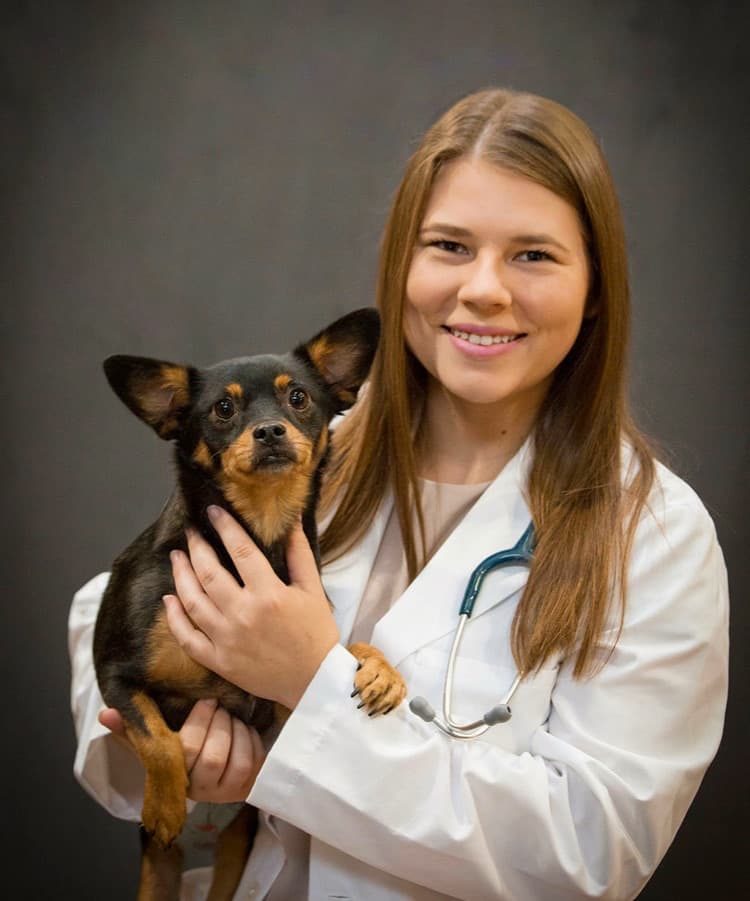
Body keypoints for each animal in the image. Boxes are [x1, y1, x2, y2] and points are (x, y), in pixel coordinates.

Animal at [93, 308, 406, 900]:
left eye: (298, 398)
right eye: (223, 408)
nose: (269, 430)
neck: (259, 535)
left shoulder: (278, 711)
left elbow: (345, 644)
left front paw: (382, 671)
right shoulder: (115, 674)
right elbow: (158, 739)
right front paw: (164, 805)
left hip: (236, 853)